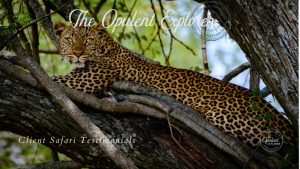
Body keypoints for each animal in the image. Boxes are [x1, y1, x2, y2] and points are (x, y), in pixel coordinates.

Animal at [52, 24, 296, 147]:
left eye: (87, 41)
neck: (108, 47)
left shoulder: (85, 80)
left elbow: (51, 79)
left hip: (224, 117)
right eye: (70, 39)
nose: (77, 53)